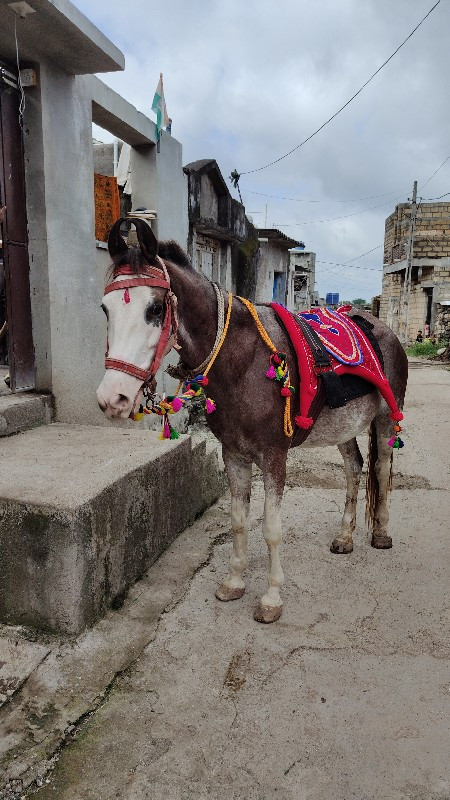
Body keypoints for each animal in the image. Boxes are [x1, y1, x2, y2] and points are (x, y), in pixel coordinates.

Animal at [97, 219, 408, 624]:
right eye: (105, 309)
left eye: (155, 308)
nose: (112, 397)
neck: (242, 361)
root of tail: (381, 328)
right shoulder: (234, 454)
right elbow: (239, 521)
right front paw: (234, 582)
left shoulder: (274, 456)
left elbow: (272, 528)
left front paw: (272, 598)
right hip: (345, 426)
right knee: (354, 468)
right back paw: (344, 537)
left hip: (387, 417)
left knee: (382, 470)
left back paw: (381, 533)